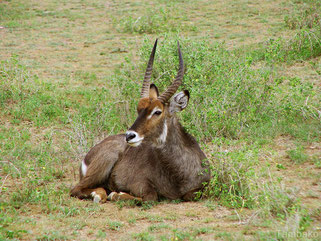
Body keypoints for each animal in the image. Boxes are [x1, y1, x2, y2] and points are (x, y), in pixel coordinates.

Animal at [70, 40, 210, 202]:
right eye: (138, 109)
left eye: (157, 111)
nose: (129, 136)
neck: (178, 176)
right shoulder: (139, 182)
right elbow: (151, 196)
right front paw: (117, 194)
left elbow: (190, 195)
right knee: (76, 189)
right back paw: (100, 194)